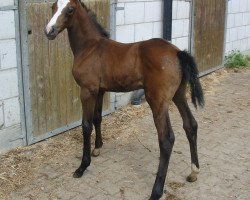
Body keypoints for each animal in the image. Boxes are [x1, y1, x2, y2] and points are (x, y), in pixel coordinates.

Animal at [45, 0, 204, 199]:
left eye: (70, 10)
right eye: (53, 6)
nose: (49, 30)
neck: (90, 47)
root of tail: (178, 53)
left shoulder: (87, 91)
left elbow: (86, 125)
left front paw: (82, 166)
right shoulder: (100, 91)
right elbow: (97, 118)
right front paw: (97, 148)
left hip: (158, 102)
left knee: (166, 139)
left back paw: (156, 191)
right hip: (179, 95)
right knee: (190, 125)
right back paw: (194, 172)